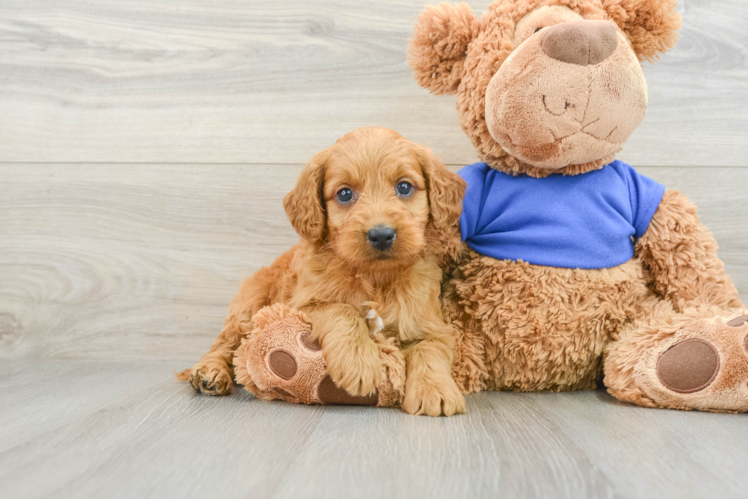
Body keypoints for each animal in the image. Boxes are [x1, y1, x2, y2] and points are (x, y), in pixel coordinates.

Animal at [178, 127, 464, 416]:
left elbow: (430, 349)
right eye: (345, 194)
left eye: (404, 187)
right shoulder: (300, 306)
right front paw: (359, 363)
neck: (374, 276)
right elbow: (342, 309)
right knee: (225, 342)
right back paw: (210, 372)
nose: (381, 235)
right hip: (249, 303)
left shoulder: (431, 324)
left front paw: (435, 391)